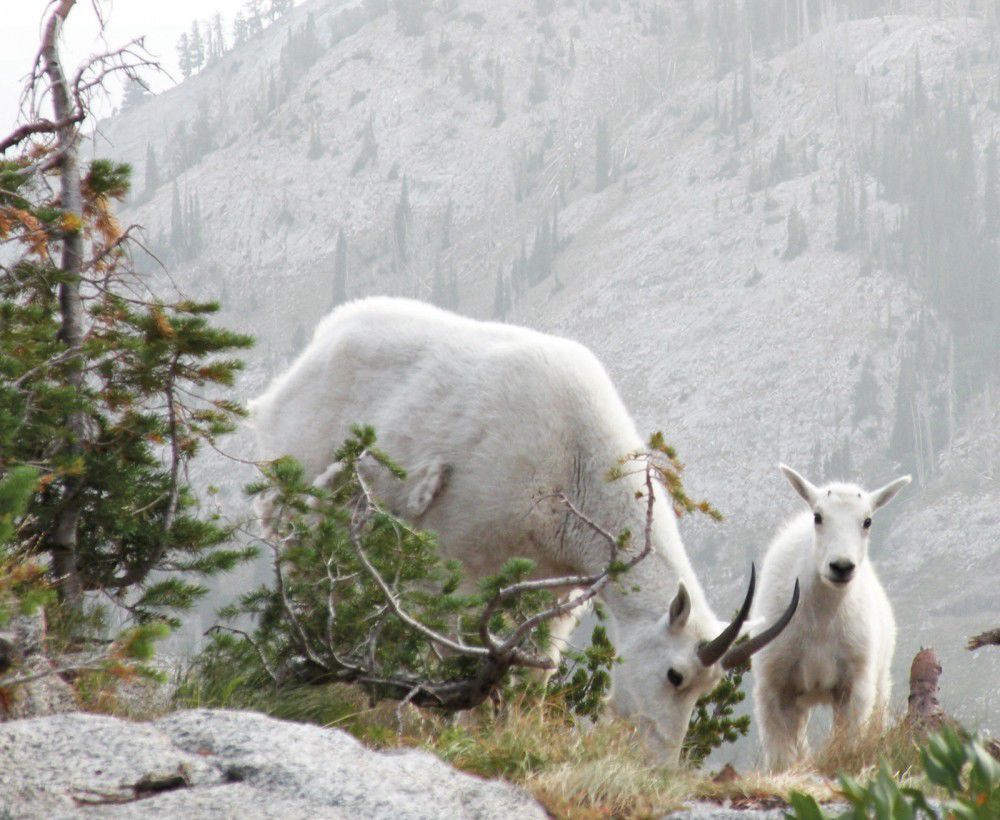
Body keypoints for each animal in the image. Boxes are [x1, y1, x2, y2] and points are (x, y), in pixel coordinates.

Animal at [250, 296, 796, 764]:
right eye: (675, 675)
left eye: (707, 689)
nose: (657, 762)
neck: (574, 463)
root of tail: (316, 347)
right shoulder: (462, 561)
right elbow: (453, 652)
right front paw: (449, 731)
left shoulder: (555, 588)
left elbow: (538, 669)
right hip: (300, 491)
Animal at [752, 464, 912, 772]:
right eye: (818, 516)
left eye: (867, 521)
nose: (841, 566)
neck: (822, 620)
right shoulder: (774, 686)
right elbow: (782, 758)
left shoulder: (854, 686)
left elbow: (848, 742)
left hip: (879, 680)